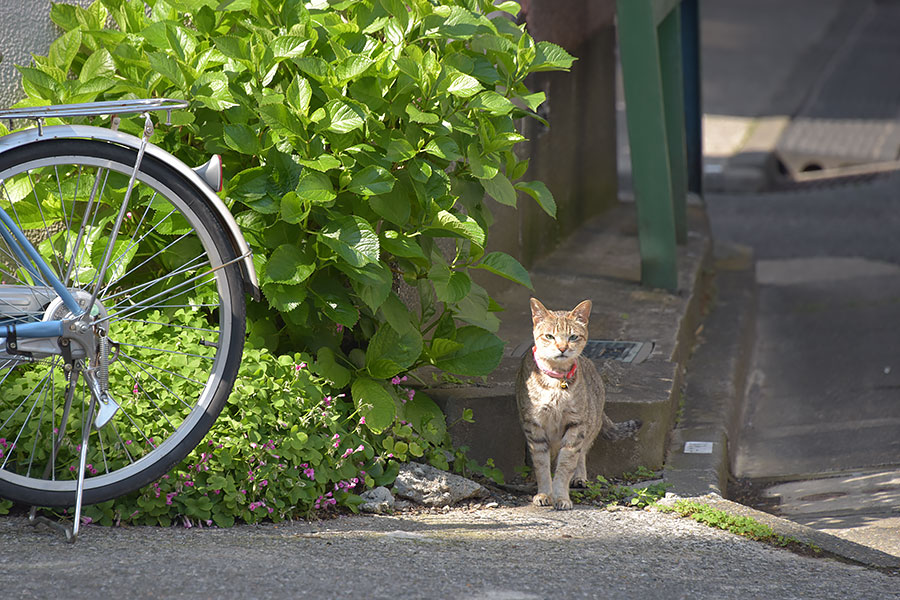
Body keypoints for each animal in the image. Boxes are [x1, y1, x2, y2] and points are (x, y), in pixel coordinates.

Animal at [512, 298, 640, 508]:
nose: (563, 348)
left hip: (589, 426)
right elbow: (542, 466)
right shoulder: (534, 427)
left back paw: (579, 478)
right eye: (549, 336)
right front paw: (544, 493)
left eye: (572, 337)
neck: (556, 382)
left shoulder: (575, 425)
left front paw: (561, 496)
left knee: (581, 455)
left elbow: (566, 464)